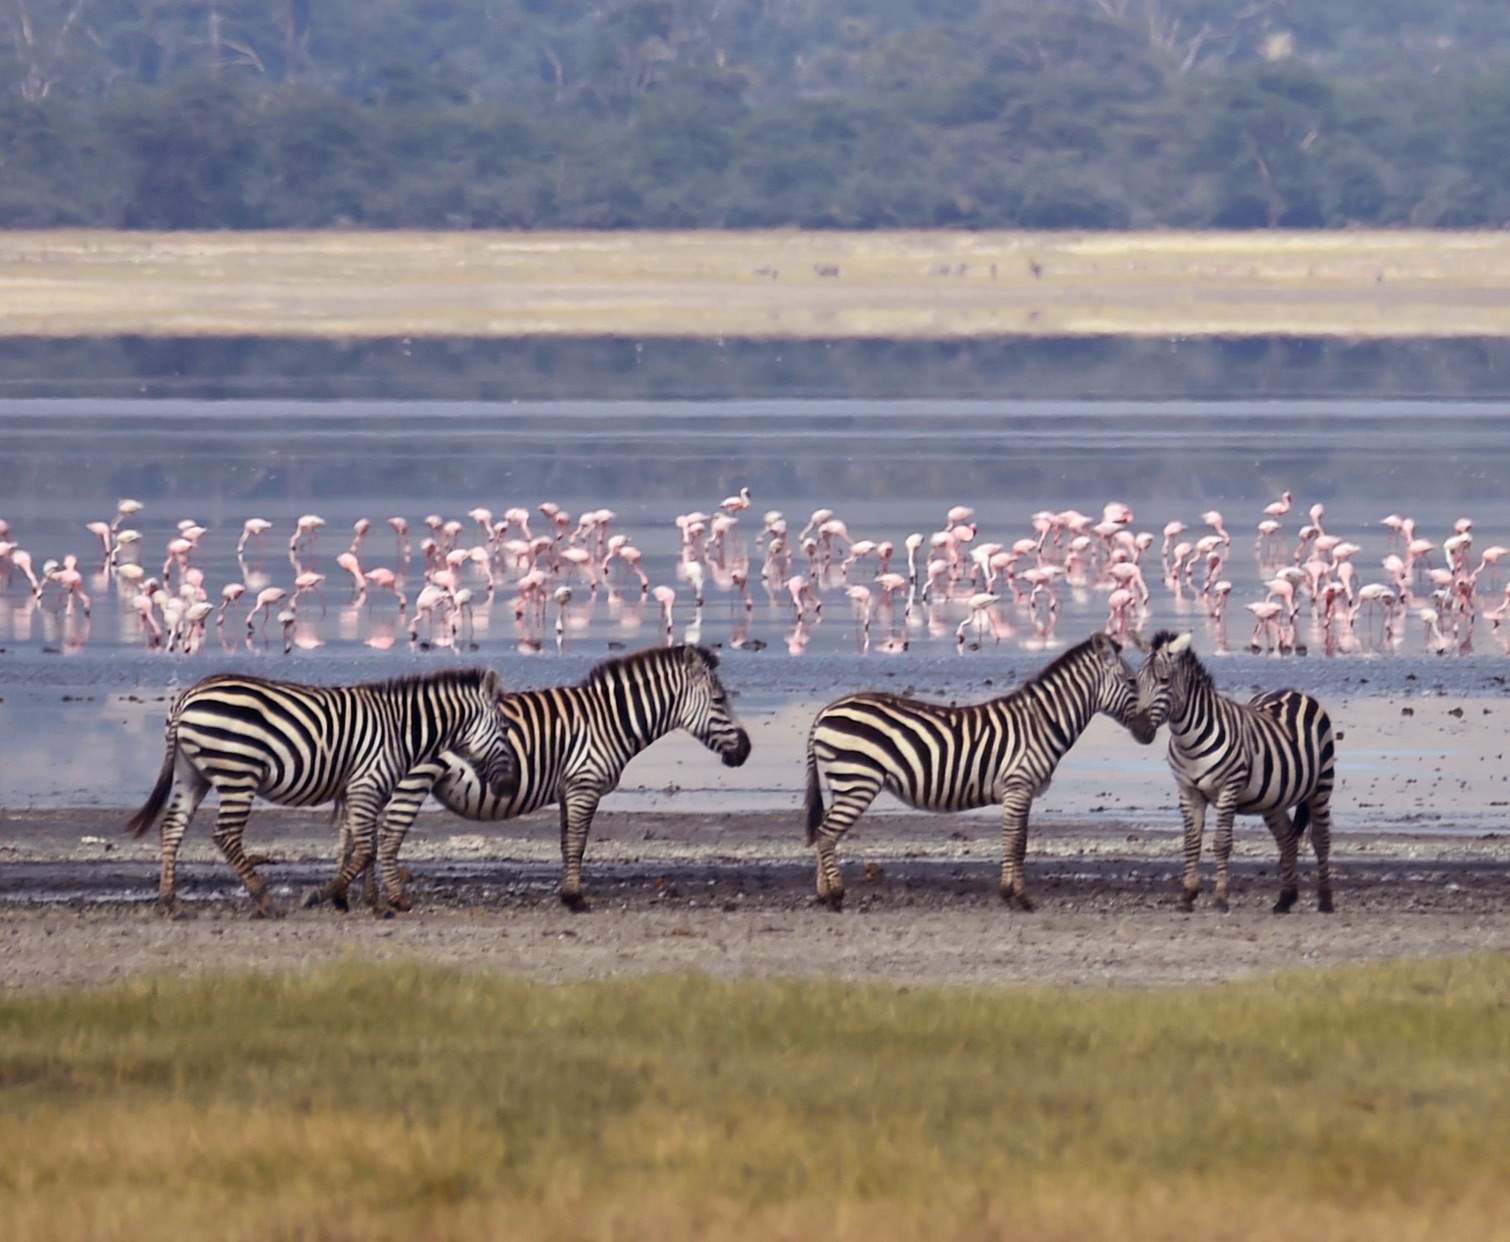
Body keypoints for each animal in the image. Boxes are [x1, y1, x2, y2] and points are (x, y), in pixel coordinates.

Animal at [123, 664, 513, 917]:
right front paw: (325, 895)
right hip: (238, 773)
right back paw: (265, 901)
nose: (506, 786)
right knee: (226, 835)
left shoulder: (368, 790)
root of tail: (188, 695)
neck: (402, 730)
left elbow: (364, 846)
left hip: (192, 774)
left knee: (172, 828)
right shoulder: (366, 784)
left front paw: (373, 902)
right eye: (505, 728)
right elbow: (367, 849)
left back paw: (171, 903)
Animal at [336, 639, 748, 911]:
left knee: (356, 832)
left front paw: (567, 894)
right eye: (719, 701)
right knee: (387, 836)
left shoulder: (569, 790)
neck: (611, 720)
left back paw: (361, 897)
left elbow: (567, 844)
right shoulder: (584, 785)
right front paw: (576, 899)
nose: (745, 751)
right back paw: (394, 899)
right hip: (410, 781)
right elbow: (579, 844)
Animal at [809, 630, 1147, 911]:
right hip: (857, 779)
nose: (1149, 732)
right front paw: (1019, 898)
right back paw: (835, 897)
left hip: (845, 782)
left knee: (822, 832)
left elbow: (1015, 840)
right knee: (826, 835)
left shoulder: (1018, 791)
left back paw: (823, 894)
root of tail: (825, 711)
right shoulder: (1019, 786)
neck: (1041, 721)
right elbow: (1017, 842)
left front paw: (1009, 893)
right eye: (1132, 682)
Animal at [1135, 630, 1334, 911]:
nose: (1139, 730)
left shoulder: (1228, 789)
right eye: (1136, 680)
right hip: (1273, 799)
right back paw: (1285, 899)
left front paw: (1220, 898)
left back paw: (1325, 900)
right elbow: (1191, 842)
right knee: (1288, 839)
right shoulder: (1188, 791)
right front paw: (1187, 895)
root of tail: (1293, 692)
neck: (1189, 741)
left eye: (1164, 680)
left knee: (1321, 839)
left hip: (1321, 786)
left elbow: (1221, 843)